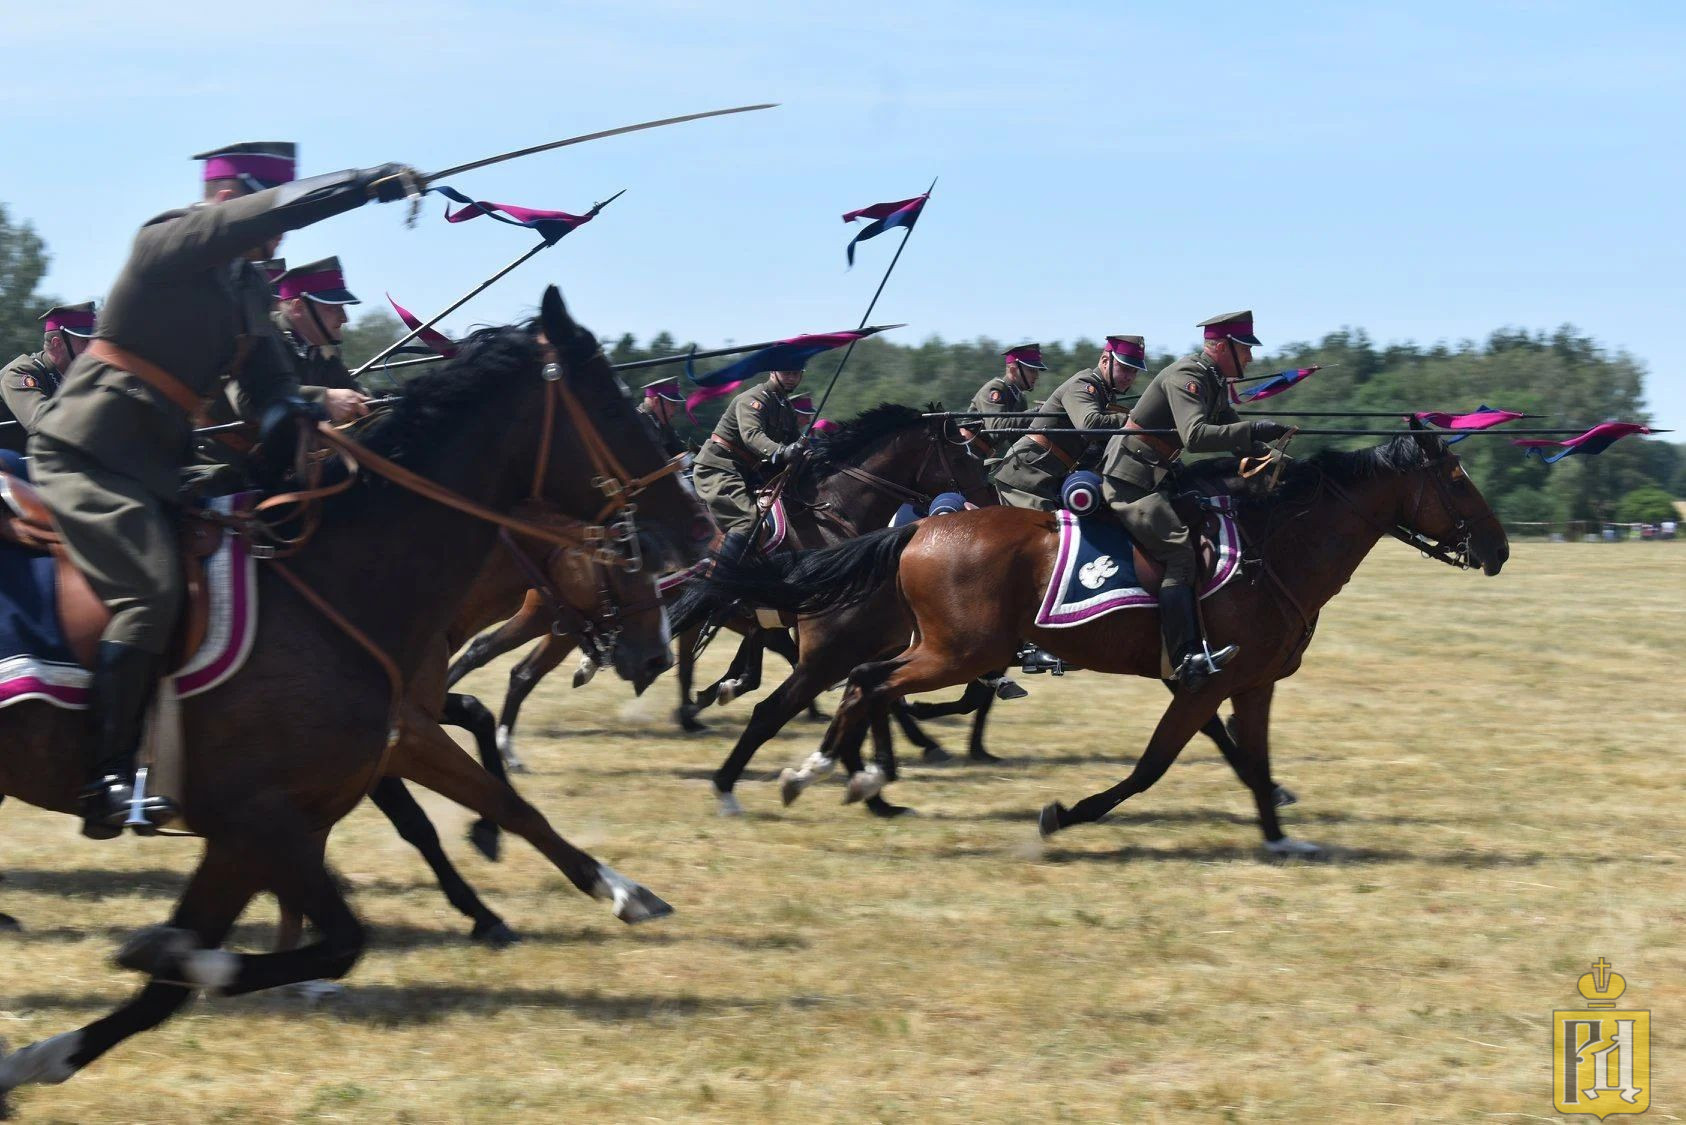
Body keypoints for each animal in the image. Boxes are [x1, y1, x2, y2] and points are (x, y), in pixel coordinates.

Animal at [0, 286, 711, 1106]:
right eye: (610, 403)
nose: (696, 527)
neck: (331, 582)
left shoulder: (274, 822)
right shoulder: (277, 810)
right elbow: (369, 900)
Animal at [691, 426, 1510, 850]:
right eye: (1459, 480)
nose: (1499, 549)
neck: (1275, 544)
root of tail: (921, 526)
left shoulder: (1245, 685)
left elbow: (1249, 760)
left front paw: (1279, 833)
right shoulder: (1205, 681)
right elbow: (1152, 767)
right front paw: (1064, 814)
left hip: (944, 649)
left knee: (862, 687)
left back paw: (841, 775)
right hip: (959, 651)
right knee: (858, 688)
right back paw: (810, 773)